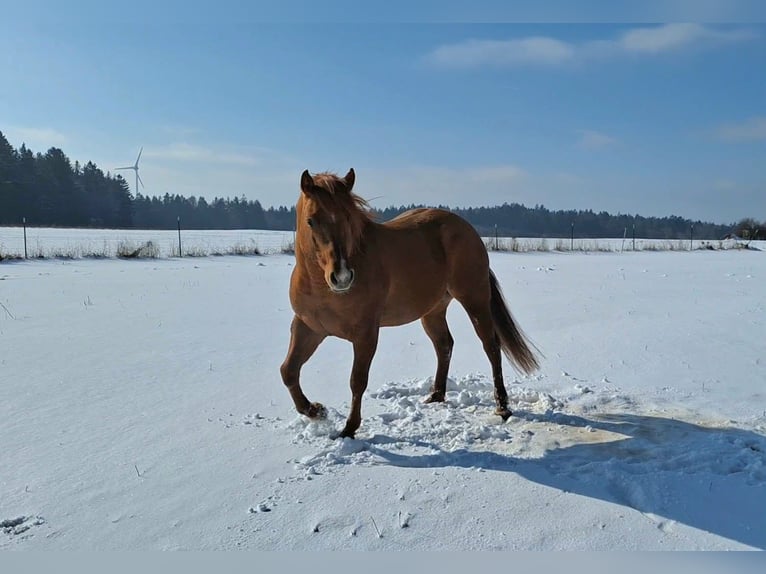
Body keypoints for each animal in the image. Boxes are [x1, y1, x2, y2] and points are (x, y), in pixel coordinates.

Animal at [280, 168, 540, 439]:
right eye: (311, 221)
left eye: (349, 218)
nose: (342, 277)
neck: (321, 288)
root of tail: (468, 230)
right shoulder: (309, 328)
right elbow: (288, 371)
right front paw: (315, 410)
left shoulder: (365, 335)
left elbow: (357, 381)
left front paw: (349, 429)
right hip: (433, 310)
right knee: (444, 345)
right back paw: (436, 395)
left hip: (475, 299)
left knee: (491, 346)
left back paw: (502, 406)